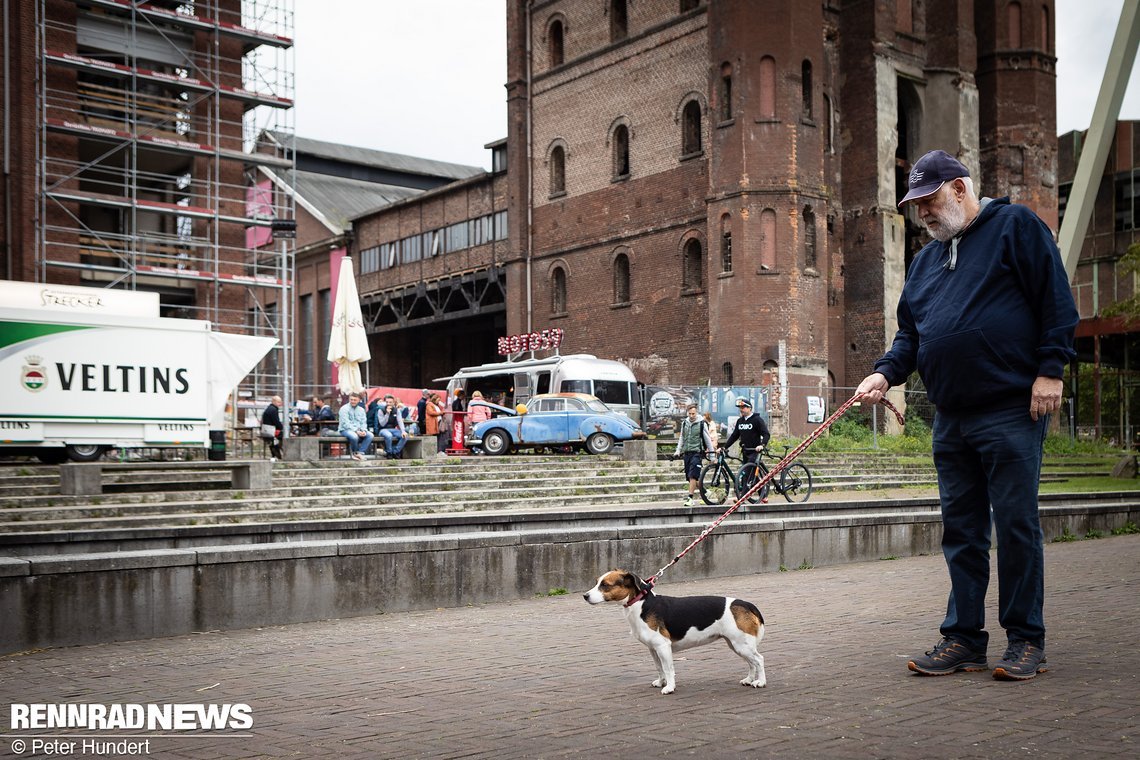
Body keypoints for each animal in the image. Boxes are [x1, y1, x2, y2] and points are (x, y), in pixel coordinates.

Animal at [588, 569, 766, 697]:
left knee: (759, 660)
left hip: (741, 644)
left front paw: (669, 687)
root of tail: (746, 604)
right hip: (736, 644)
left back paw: (760, 682)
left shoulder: (663, 646)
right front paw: (661, 682)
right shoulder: (653, 649)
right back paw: (749, 679)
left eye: (605, 585)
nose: (585, 595)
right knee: (751, 663)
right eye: (596, 582)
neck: (641, 604)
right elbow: (659, 668)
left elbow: (668, 669)